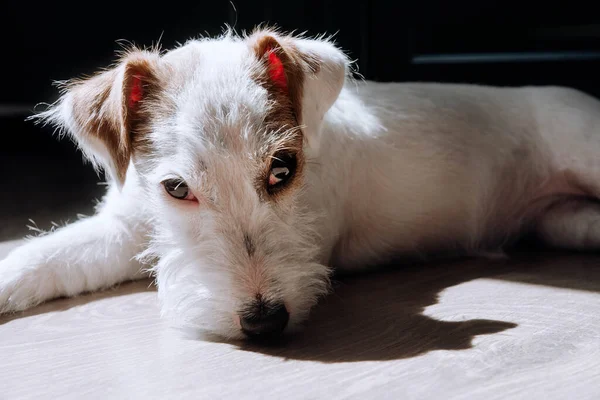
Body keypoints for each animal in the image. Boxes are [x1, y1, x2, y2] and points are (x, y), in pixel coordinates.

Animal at [1, 28, 600, 340]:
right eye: (176, 189)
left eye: (282, 169)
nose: (265, 324)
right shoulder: (125, 230)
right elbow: (44, 256)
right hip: (563, 222)